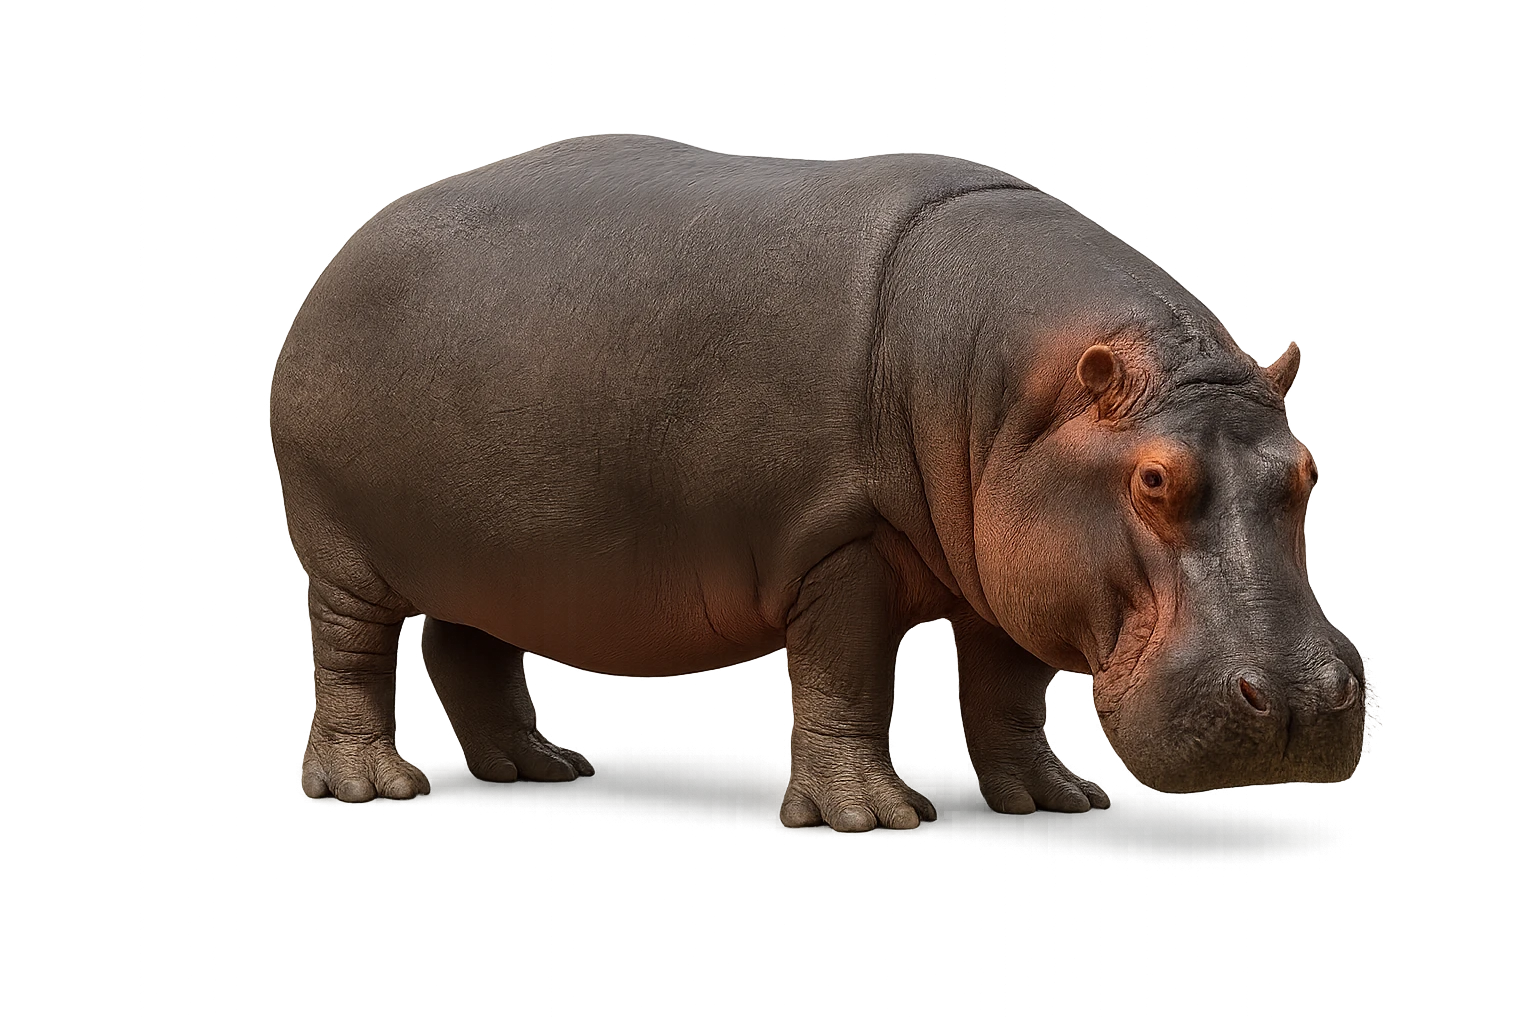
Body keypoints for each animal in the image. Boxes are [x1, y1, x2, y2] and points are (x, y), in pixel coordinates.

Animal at [269, 133, 1367, 831]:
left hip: (495, 556)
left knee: (469, 649)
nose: (1303, 700)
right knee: (352, 653)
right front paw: (868, 814)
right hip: (341, 549)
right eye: (1151, 478)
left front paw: (1053, 797)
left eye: (1309, 469)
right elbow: (845, 674)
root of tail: (341, 250)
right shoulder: (839, 540)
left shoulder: (1012, 562)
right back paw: (372, 783)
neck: (1023, 391)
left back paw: (538, 767)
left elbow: (1008, 686)